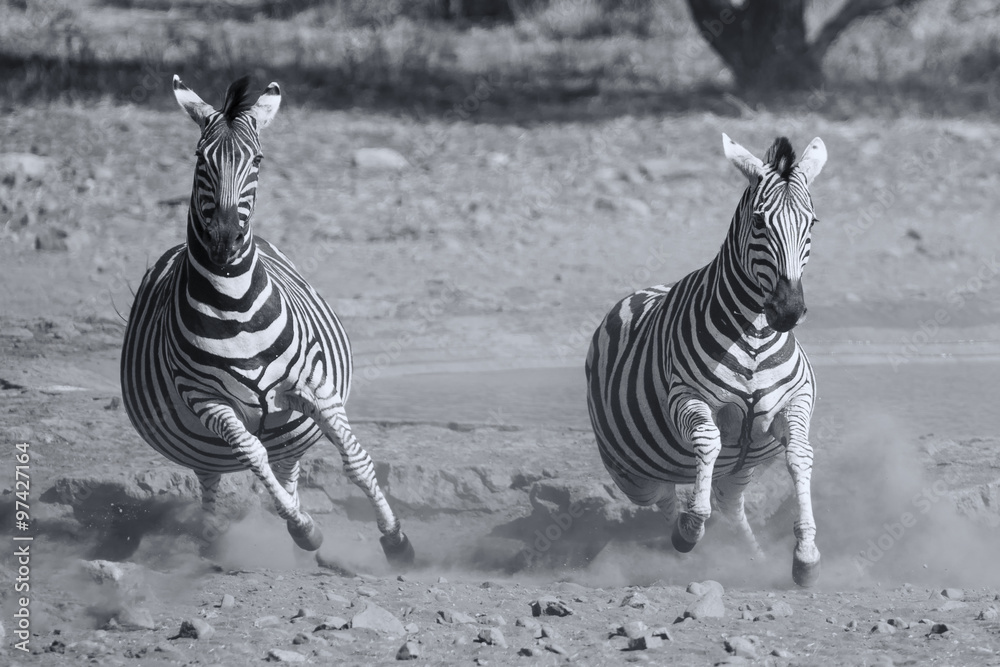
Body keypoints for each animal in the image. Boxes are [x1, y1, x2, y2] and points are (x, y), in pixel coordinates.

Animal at [120, 75, 414, 565]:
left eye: (257, 160)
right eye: (200, 157)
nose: (223, 240)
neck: (232, 304)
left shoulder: (314, 387)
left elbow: (355, 461)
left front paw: (396, 540)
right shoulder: (207, 400)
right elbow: (252, 456)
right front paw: (305, 529)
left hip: (286, 423)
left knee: (287, 466)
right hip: (214, 438)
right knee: (216, 478)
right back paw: (219, 540)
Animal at [585, 134, 827, 586]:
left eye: (812, 223)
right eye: (759, 222)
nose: (788, 311)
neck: (753, 338)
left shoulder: (795, 401)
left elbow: (800, 456)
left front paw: (806, 555)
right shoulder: (687, 397)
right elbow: (707, 440)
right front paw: (692, 525)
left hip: (742, 465)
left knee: (730, 504)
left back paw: (752, 558)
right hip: (630, 474)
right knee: (664, 497)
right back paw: (682, 540)